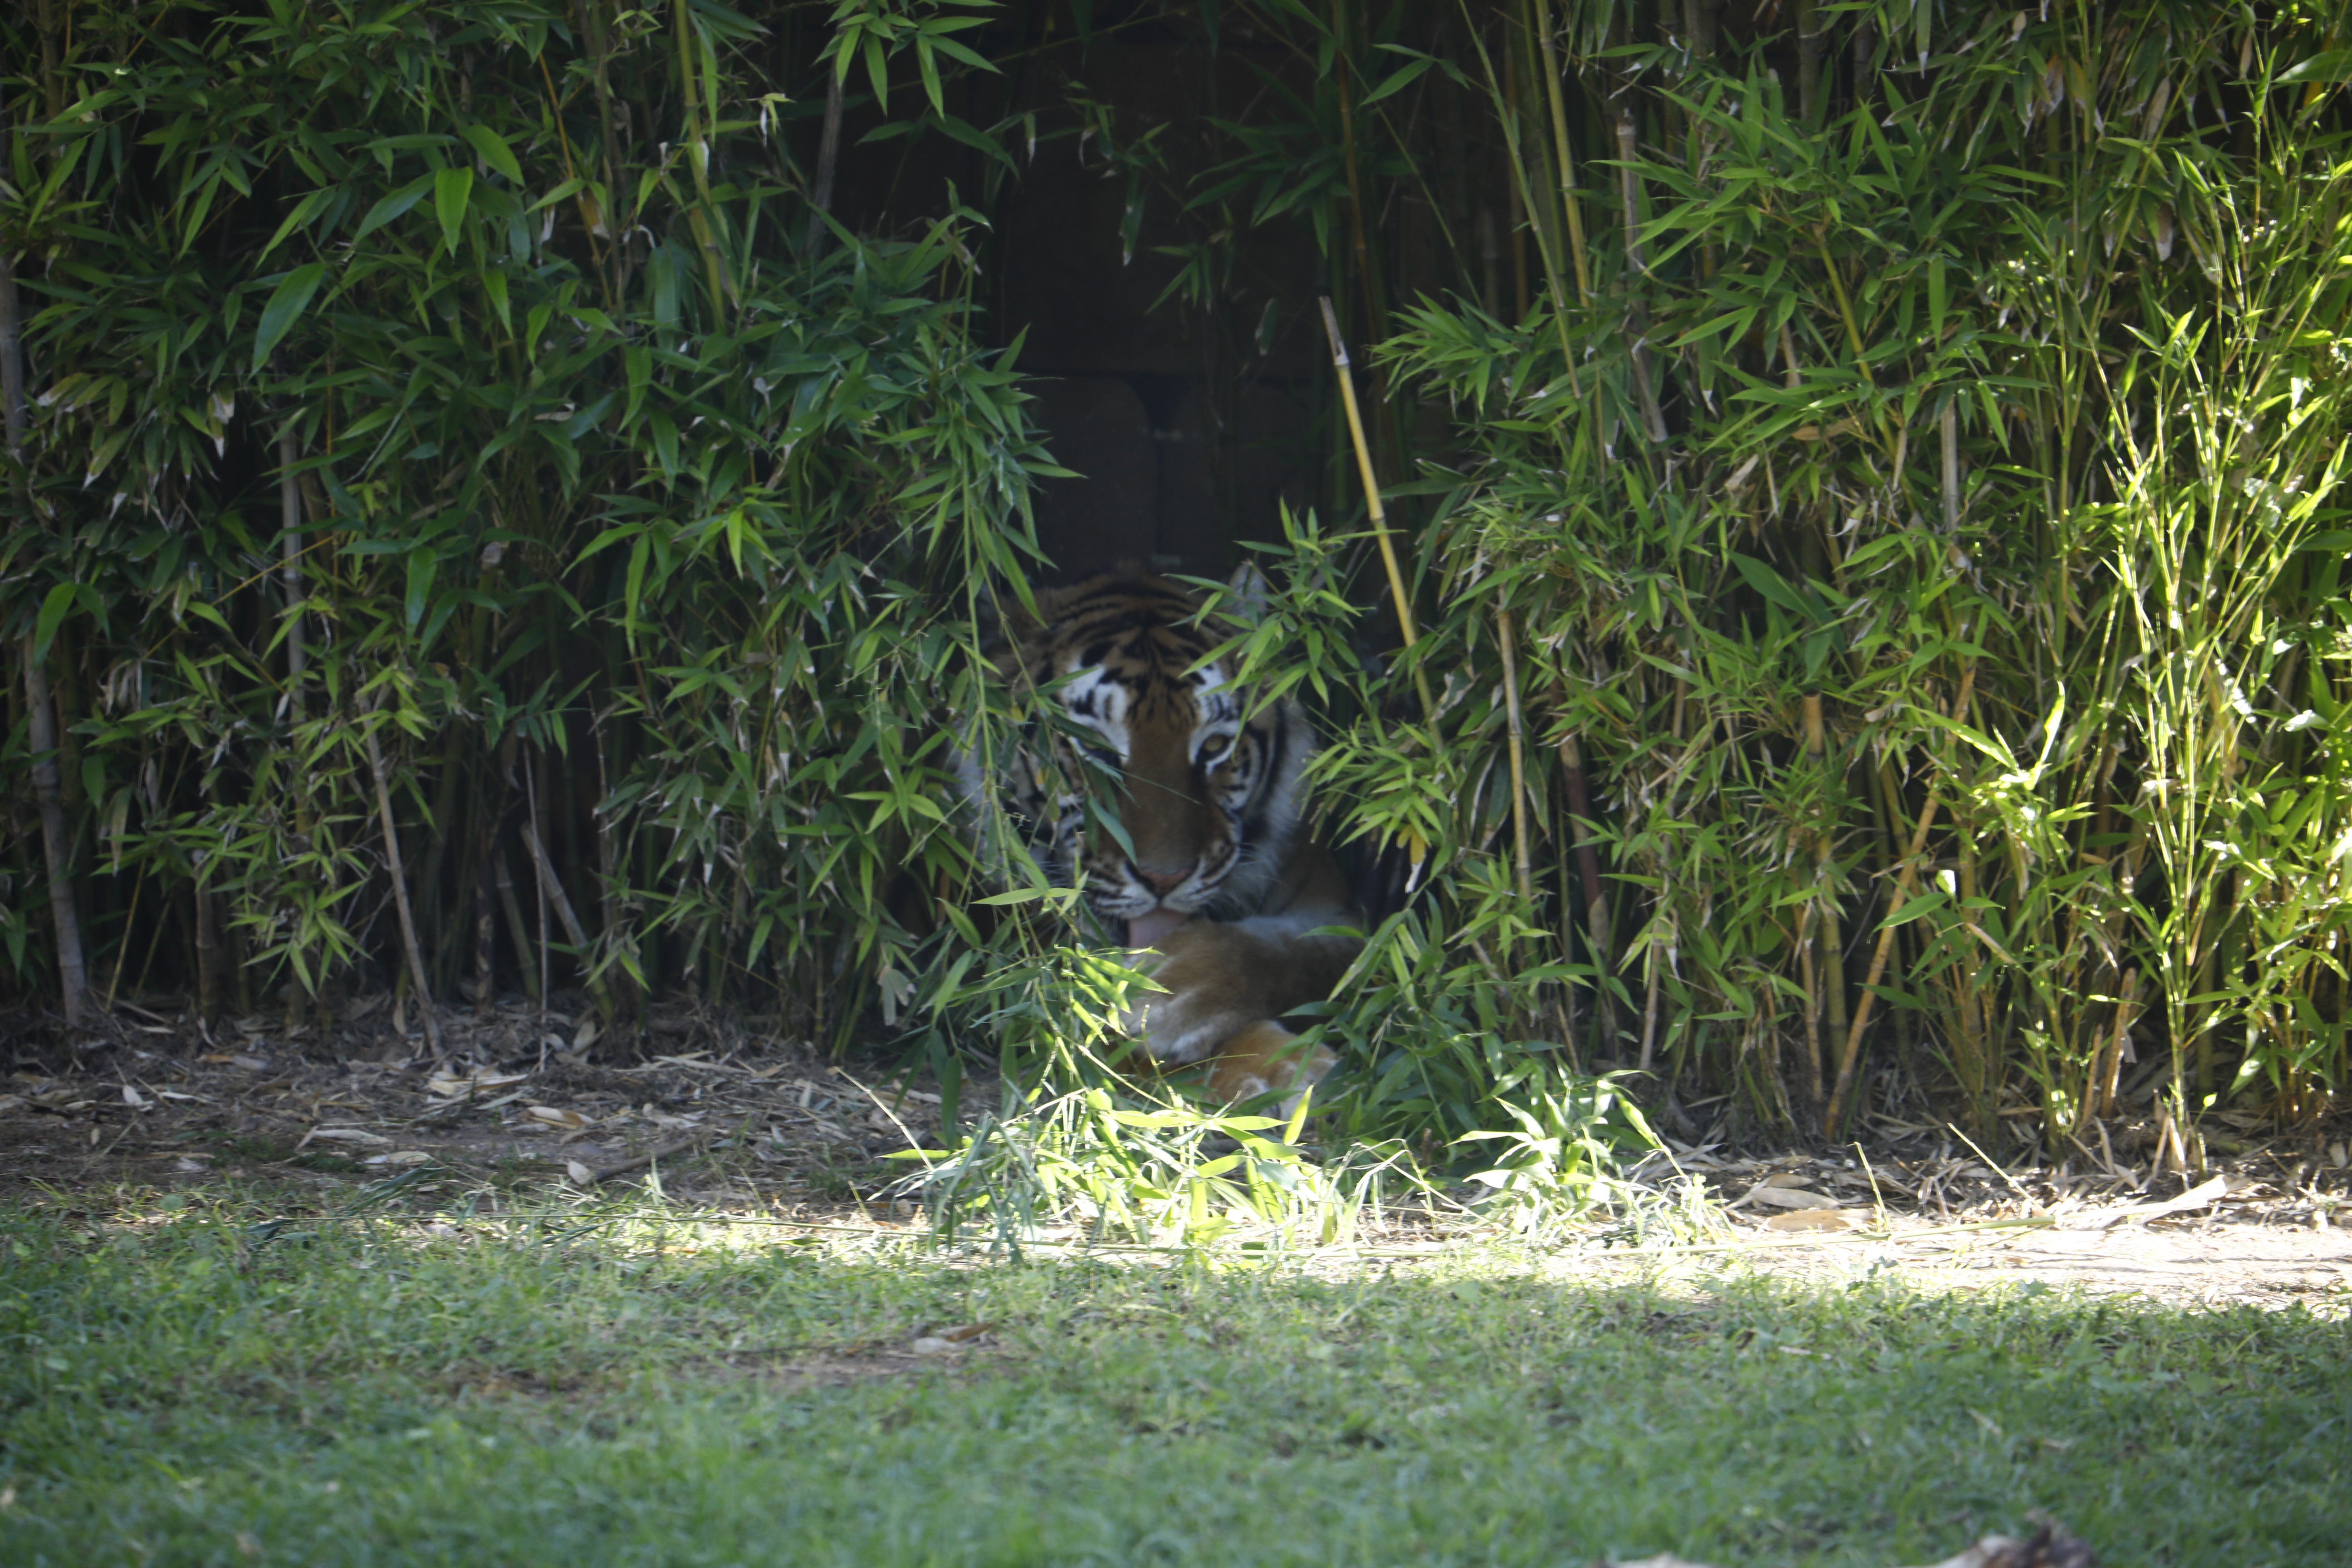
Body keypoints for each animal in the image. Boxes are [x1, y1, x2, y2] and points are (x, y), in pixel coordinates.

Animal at [958, 569, 1360, 1112]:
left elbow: (1288, 952)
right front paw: (1279, 1067)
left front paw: (1171, 990)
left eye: (1215, 746)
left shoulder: (1338, 913)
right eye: (1095, 748)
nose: (1164, 878)